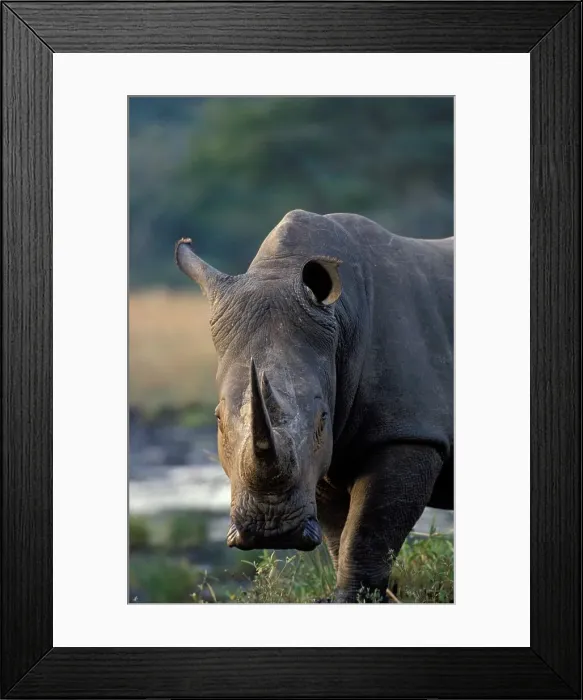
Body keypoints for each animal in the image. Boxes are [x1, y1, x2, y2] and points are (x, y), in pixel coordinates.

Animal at [176, 210, 453, 602]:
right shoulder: (325, 452)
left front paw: (353, 598)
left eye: (322, 419)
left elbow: (369, 527)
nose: (271, 531)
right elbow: (339, 530)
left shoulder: (409, 432)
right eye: (217, 420)